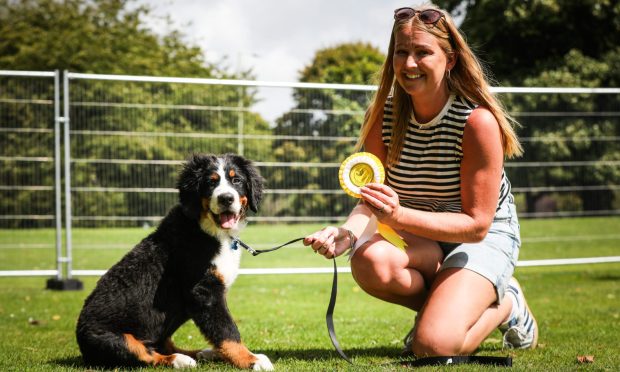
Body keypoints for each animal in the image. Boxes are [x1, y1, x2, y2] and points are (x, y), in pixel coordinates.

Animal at [75, 153, 274, 370]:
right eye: (210, 182)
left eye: (236, 180)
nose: (226, 198)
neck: (207, 229)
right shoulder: (205, 291)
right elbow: (227, 330)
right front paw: (251, 359)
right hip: (112, 338)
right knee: (147, 354)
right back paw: (180, 360)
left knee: (162, 344)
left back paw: (204, 353)